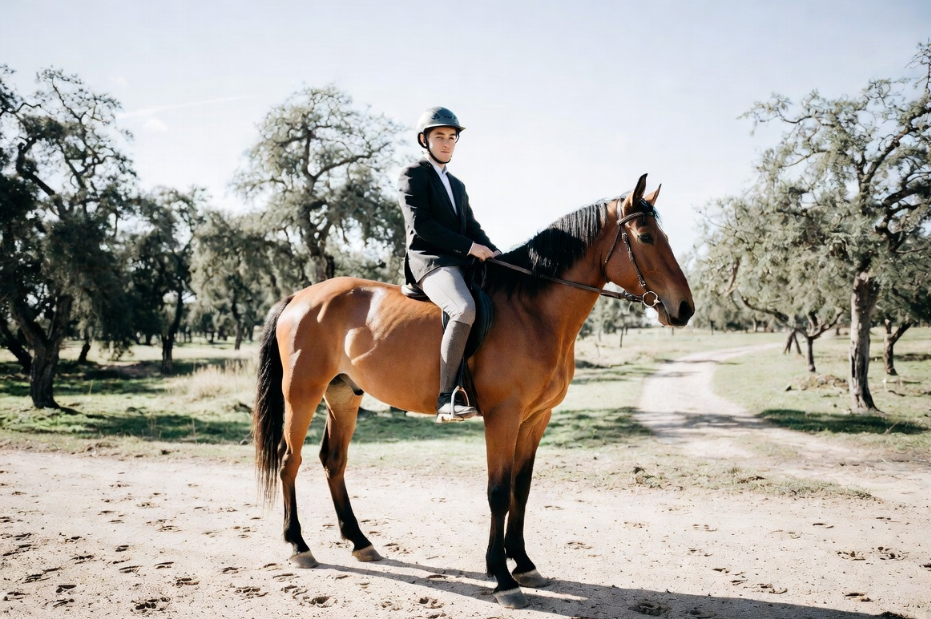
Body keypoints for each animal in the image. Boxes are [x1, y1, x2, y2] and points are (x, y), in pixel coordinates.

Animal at [252, 173, 694, 609]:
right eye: (646, 237)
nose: (685, 309)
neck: (533, 311)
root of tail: (300, 296)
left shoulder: (536, 418)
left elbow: (520, 489)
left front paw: (525, 565)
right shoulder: (503, 416)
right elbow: (498, 492)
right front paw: (502, 578)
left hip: (344, 396)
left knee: (334, 461)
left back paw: (360, 543)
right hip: (302, 394)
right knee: (289, 460)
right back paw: (299, 545)